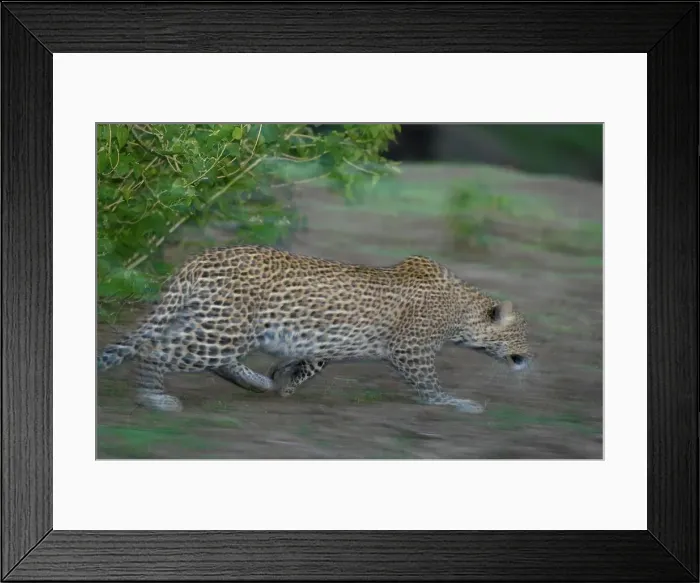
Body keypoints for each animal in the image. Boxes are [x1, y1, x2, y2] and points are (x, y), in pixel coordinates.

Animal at [97, 244, 532, 414]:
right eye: (522, 335)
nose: (531, 358)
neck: (461, 310)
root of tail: (199, 260)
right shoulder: (413, 352)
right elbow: (431, 386)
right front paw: (454, 403)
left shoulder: (327, 343)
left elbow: (310, 363)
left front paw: (283, 379)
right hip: (224, 330)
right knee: (155, 350)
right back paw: (153, 398)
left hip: (217, 324)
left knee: (198, 354)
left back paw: (256, 381)